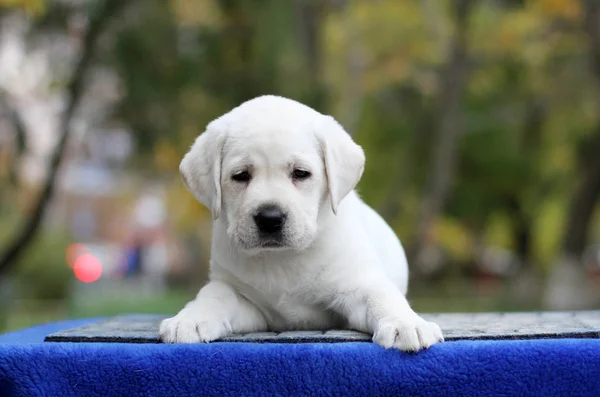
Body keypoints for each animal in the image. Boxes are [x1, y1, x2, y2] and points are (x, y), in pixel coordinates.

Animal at [157, 95, 442, 350]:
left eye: (301, 173)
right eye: (240, 175)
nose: (270, 218)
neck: (283, 258)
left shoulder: (357, 284)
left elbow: (382, 297)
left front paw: (405, 324)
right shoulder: (240, 295)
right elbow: (214, 295)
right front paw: (190, 319)